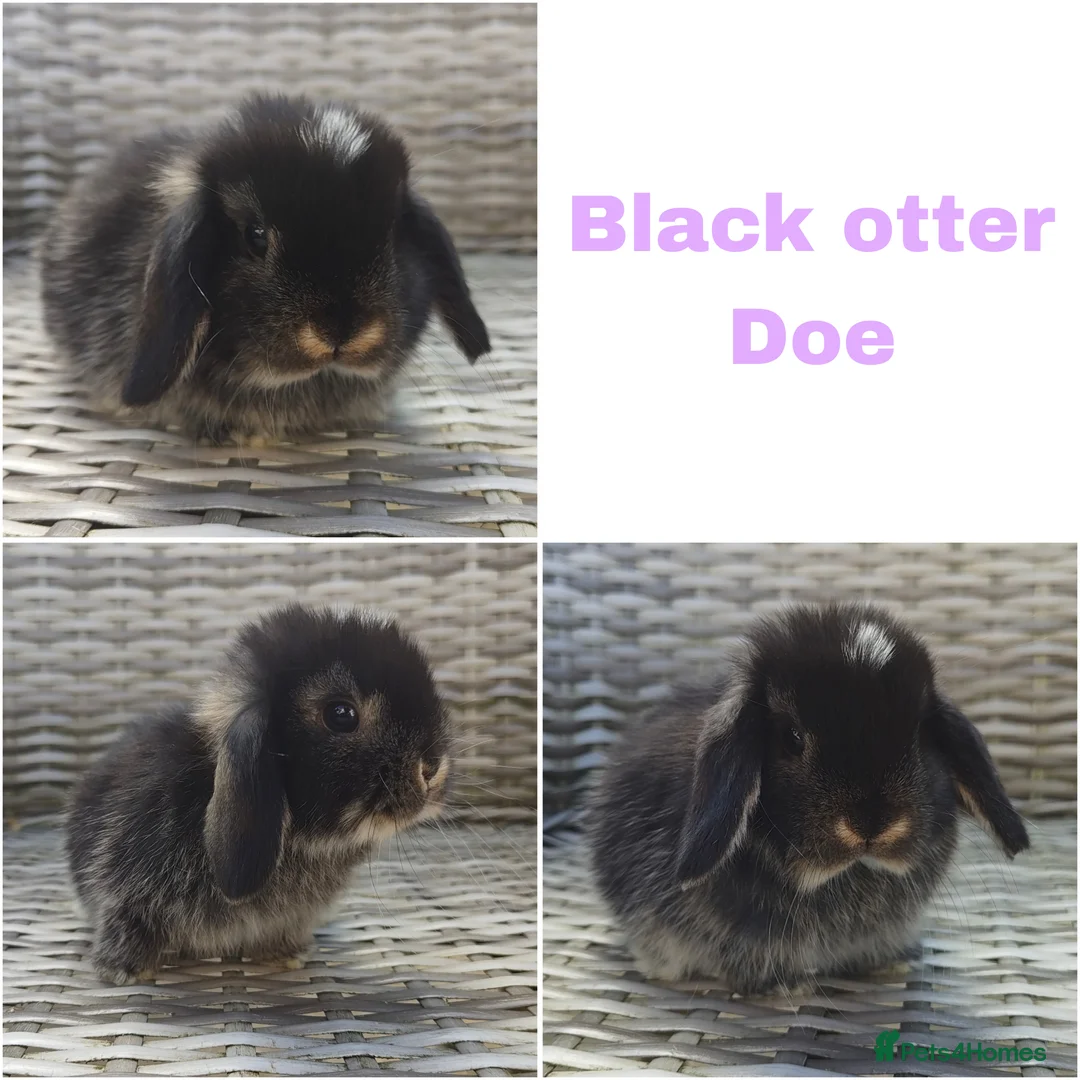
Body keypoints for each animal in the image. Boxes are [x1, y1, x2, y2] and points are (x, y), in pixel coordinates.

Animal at [66, 604, 451, 985]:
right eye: (341, 714)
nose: (432, 767)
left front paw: (287, 956)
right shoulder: (127, 893)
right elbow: (128, 922)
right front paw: (125, 970)